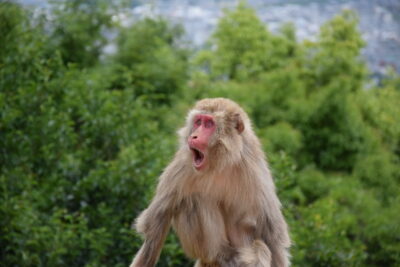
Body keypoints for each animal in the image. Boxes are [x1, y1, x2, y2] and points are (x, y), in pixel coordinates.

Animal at [131, 99, 290, 267]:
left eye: (208, 124)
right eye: (198, 122)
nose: (194, 136)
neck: (219, 163)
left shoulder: (254, 169)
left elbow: (272, 235)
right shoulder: (183, 164)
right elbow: (155, 224)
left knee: (260, 248)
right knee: (192, 199)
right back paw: (221, 254)